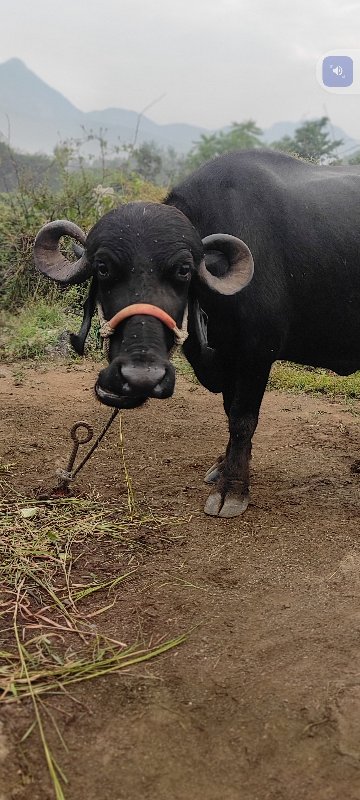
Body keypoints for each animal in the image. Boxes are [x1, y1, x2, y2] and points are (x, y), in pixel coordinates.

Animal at [33, 152, 360, 520]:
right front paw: (223, 464)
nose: (141, 377)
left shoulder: (256, 354)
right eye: (103, 268)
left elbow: (242, 419)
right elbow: (229, 411)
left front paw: (232, 489)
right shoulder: (227, 358)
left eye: (183, 270)